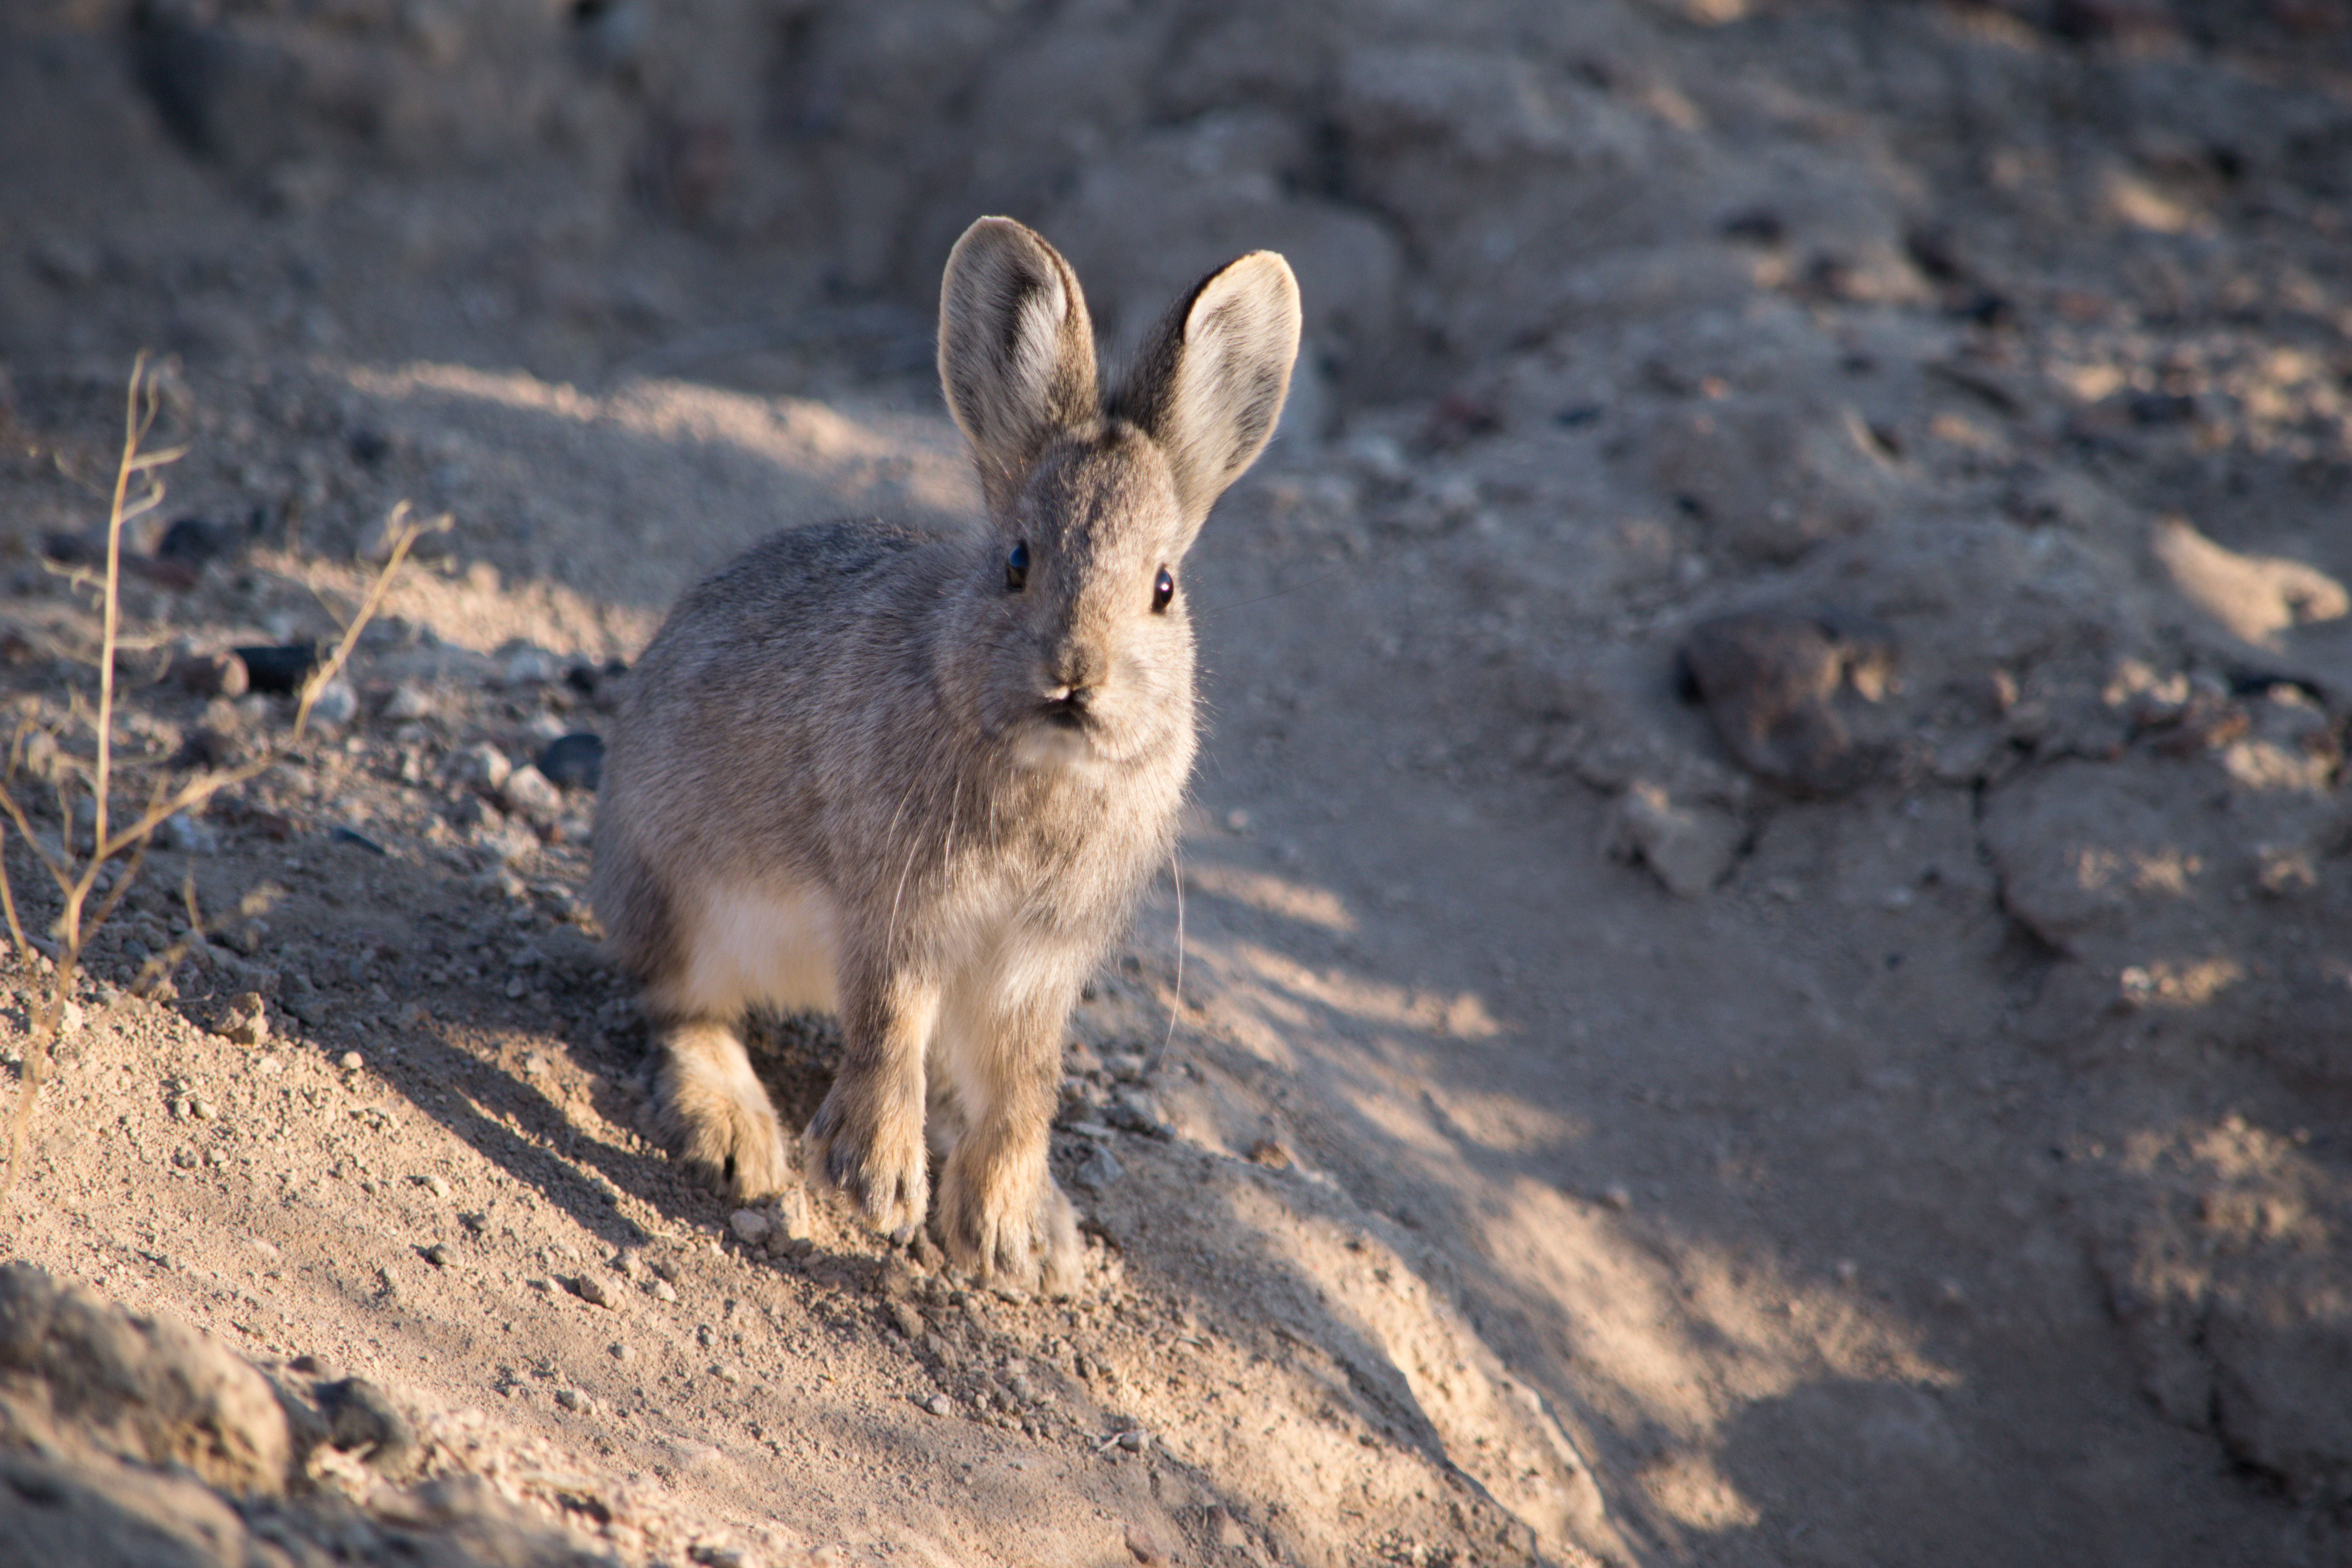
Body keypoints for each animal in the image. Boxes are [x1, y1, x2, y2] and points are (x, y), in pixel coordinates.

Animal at [590, 216, 1301, 1293]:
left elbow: (1025, 1084)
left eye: (1164, 588)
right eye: (1016, 562)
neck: (1041, 765)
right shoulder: (899, 916)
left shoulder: (1038, 965)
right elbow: (890, 1029)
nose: (1074, 675)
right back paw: (738, 1133)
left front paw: (1003, 1232)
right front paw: (877, 1184)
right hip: (684, 898)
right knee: (683, 1008)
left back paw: (1046, 1224)